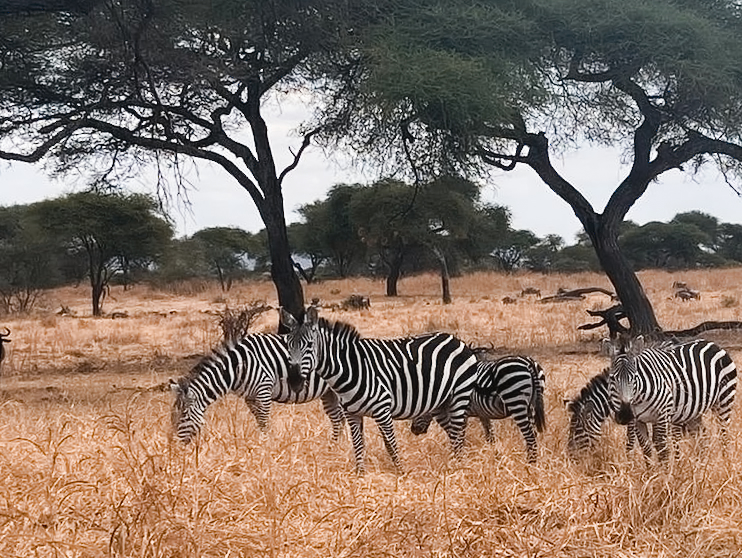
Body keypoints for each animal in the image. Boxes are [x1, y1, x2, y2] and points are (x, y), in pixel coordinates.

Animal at [170, 332, 345, 444]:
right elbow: (259, 420)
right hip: (328, 393)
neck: (238, 368)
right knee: (338, 419)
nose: (177, 447)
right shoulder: (250, 397)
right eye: (173, 416)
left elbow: (263, 420)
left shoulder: (264, 390)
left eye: (184, 415)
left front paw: (265, 446)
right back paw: (334, 447)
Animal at [280, 306, 478, 474]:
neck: (351, 368)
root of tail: (455, 339)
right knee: (453, 433)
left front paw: (401, 472)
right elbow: (358, 444)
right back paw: (454, 462)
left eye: (309, 345)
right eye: (288, 345)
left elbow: (390, 444)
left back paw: (458, 466)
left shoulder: (383, 410)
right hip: (441, 403)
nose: (295, 381)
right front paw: (360, 475)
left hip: (459, 395)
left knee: (459, 433)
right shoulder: (352, 414)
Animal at [410, 355, 547, 463]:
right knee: (532, 435)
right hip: (531, 405)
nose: (414, 430)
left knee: (530, 436)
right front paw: (495, 456)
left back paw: (529, 465)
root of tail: (528, 362)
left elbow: (460, 436)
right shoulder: (483, 413)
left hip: (516, 401)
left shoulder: (463, 412)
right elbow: (490, 436)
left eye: (420, 409)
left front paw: (460, 458)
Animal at [606, 336, 737, 461]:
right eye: (612, 378)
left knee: (724, 434)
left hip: (724, 401)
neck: (639, 398)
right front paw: (650, 470)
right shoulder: (638, 420)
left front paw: (666, 469)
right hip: (693, 411)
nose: (625, 415)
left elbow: (663, 449)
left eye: (634, 377)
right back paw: (701, 464)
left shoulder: (662, 416)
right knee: (702, 437)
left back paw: (725, 461)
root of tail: (713, 344)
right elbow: (646, 448)